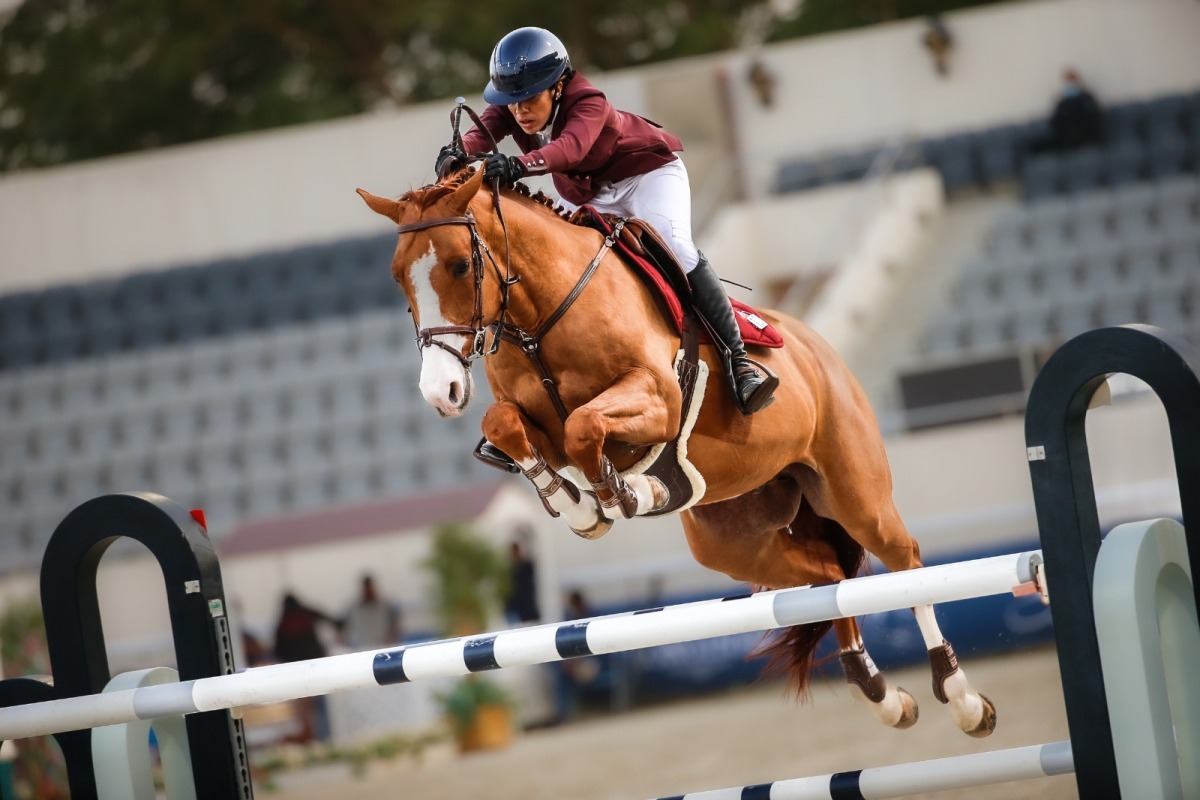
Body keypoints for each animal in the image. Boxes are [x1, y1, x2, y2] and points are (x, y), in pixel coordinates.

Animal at [357, 165, 997, 738]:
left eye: (460, 265)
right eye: (398, 277)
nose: (440, 392)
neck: (542, 316)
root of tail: (820, 348)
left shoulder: (657, 399)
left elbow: (586, 428)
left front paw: (623, 493)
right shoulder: (530, 422)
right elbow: (510, 425)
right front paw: (579, 507)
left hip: (854, 493)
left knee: (904, 562)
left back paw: (962, 699)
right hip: (734, 541)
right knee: (828, 578)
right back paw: (883, 695)